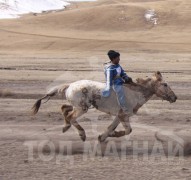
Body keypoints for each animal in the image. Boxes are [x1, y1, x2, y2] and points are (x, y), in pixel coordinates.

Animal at [31, 71, 176, 143]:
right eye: (165, 84)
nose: (174, 97)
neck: (135, 92)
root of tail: (70, 85)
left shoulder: (120, 116)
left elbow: (111, 127)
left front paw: (103, 137)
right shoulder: (123, 116)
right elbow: (128, 130)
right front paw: (114, 134)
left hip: (78, 105)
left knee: (64, 108)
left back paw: (65, 127)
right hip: (82, 108)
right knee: (71, 117)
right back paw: (81, 134)